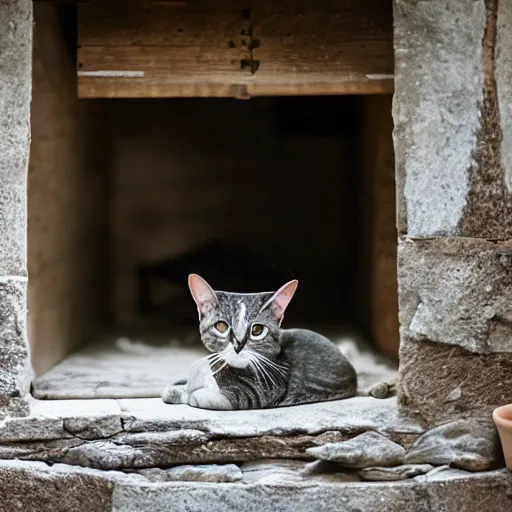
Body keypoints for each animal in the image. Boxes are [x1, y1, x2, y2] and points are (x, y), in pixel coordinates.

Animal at [162, 274, 358, 410]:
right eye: (221, 326)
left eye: (256, 330)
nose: (238, 345)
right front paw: (178, 389)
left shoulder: (254, 393)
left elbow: (201, 397)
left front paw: (188, 394)